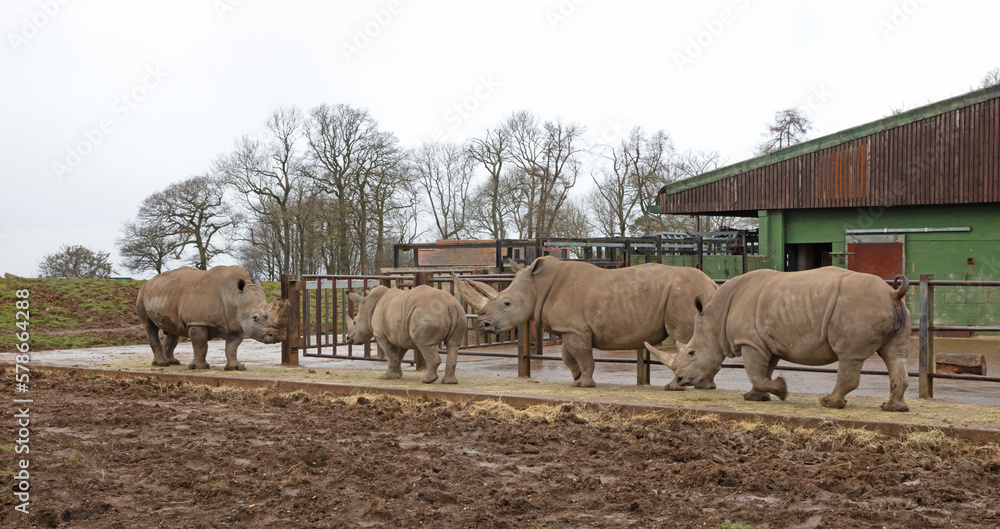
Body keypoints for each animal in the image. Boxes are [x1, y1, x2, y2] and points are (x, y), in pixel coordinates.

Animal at [136, 265, 289, 370]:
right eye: (255, 318)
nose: (279, 336)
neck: (234, 297)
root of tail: (149, 282)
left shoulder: (236, 323)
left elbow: (232, 348)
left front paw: (236, 367)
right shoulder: (197, 322)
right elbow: (200, 345)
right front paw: (199, 367)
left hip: (165, 294)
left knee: (173, 331)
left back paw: (173, 362)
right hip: (142, 294)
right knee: (150, 327)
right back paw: (161, 364)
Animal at [454, 256, 719, 388]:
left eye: (507, 304)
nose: (484, 325)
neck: (537, 286)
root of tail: (713, 283)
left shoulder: (576, 331)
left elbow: (584, 357)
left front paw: (584, 384)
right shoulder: (570, 329)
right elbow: (567, 356)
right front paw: (576, 379)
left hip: (684, 295)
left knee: (685, 339)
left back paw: (675, 387)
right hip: (692, 295)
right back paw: (703, 386)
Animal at [645, 267, 911, 411]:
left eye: (691, 352)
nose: (680, 380)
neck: (714, 319)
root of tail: (893, 293)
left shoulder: (750, 342)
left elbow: (756, 372)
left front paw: (781, 391)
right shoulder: (764, 342)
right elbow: (763, 372)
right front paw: (755, 397)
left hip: (857, 307)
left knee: (849, 356)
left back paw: (829, 402)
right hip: (894, 309)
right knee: (895, 356)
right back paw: (893, 408)